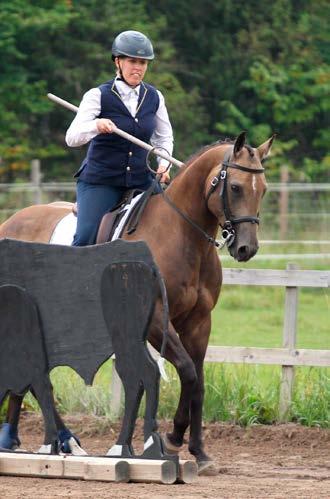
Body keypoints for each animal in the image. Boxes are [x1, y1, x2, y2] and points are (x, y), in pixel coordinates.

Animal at [0, 131, 274, 474]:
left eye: (263, 189)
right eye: (235, 187)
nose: (246, 248)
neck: (180, 235)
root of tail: (10, 223)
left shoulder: (199, 322)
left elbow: (198, 381)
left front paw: (199, 451)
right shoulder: (155, 320)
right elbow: (187, 370)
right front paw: (172, 436)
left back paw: (32, 439)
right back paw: (51, 440)